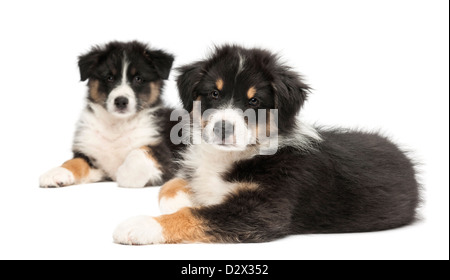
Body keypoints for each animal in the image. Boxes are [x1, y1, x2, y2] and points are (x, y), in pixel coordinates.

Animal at [40, 41, 178, 188]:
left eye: (138, 78)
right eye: (109, 78)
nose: (121, 101)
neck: (117, 124)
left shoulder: (164, 155)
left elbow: (141, 151)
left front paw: (128, 174)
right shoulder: (93, 158)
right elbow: (75, 161)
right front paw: (56, 173)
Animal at [111, 44, 418, 244]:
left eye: (254, 101)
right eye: (214, 93)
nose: (223, 128)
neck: (239, 155)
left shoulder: (264, 209)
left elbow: (194, 215)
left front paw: (139, 225)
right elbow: (170, 187)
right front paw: (186, 197)